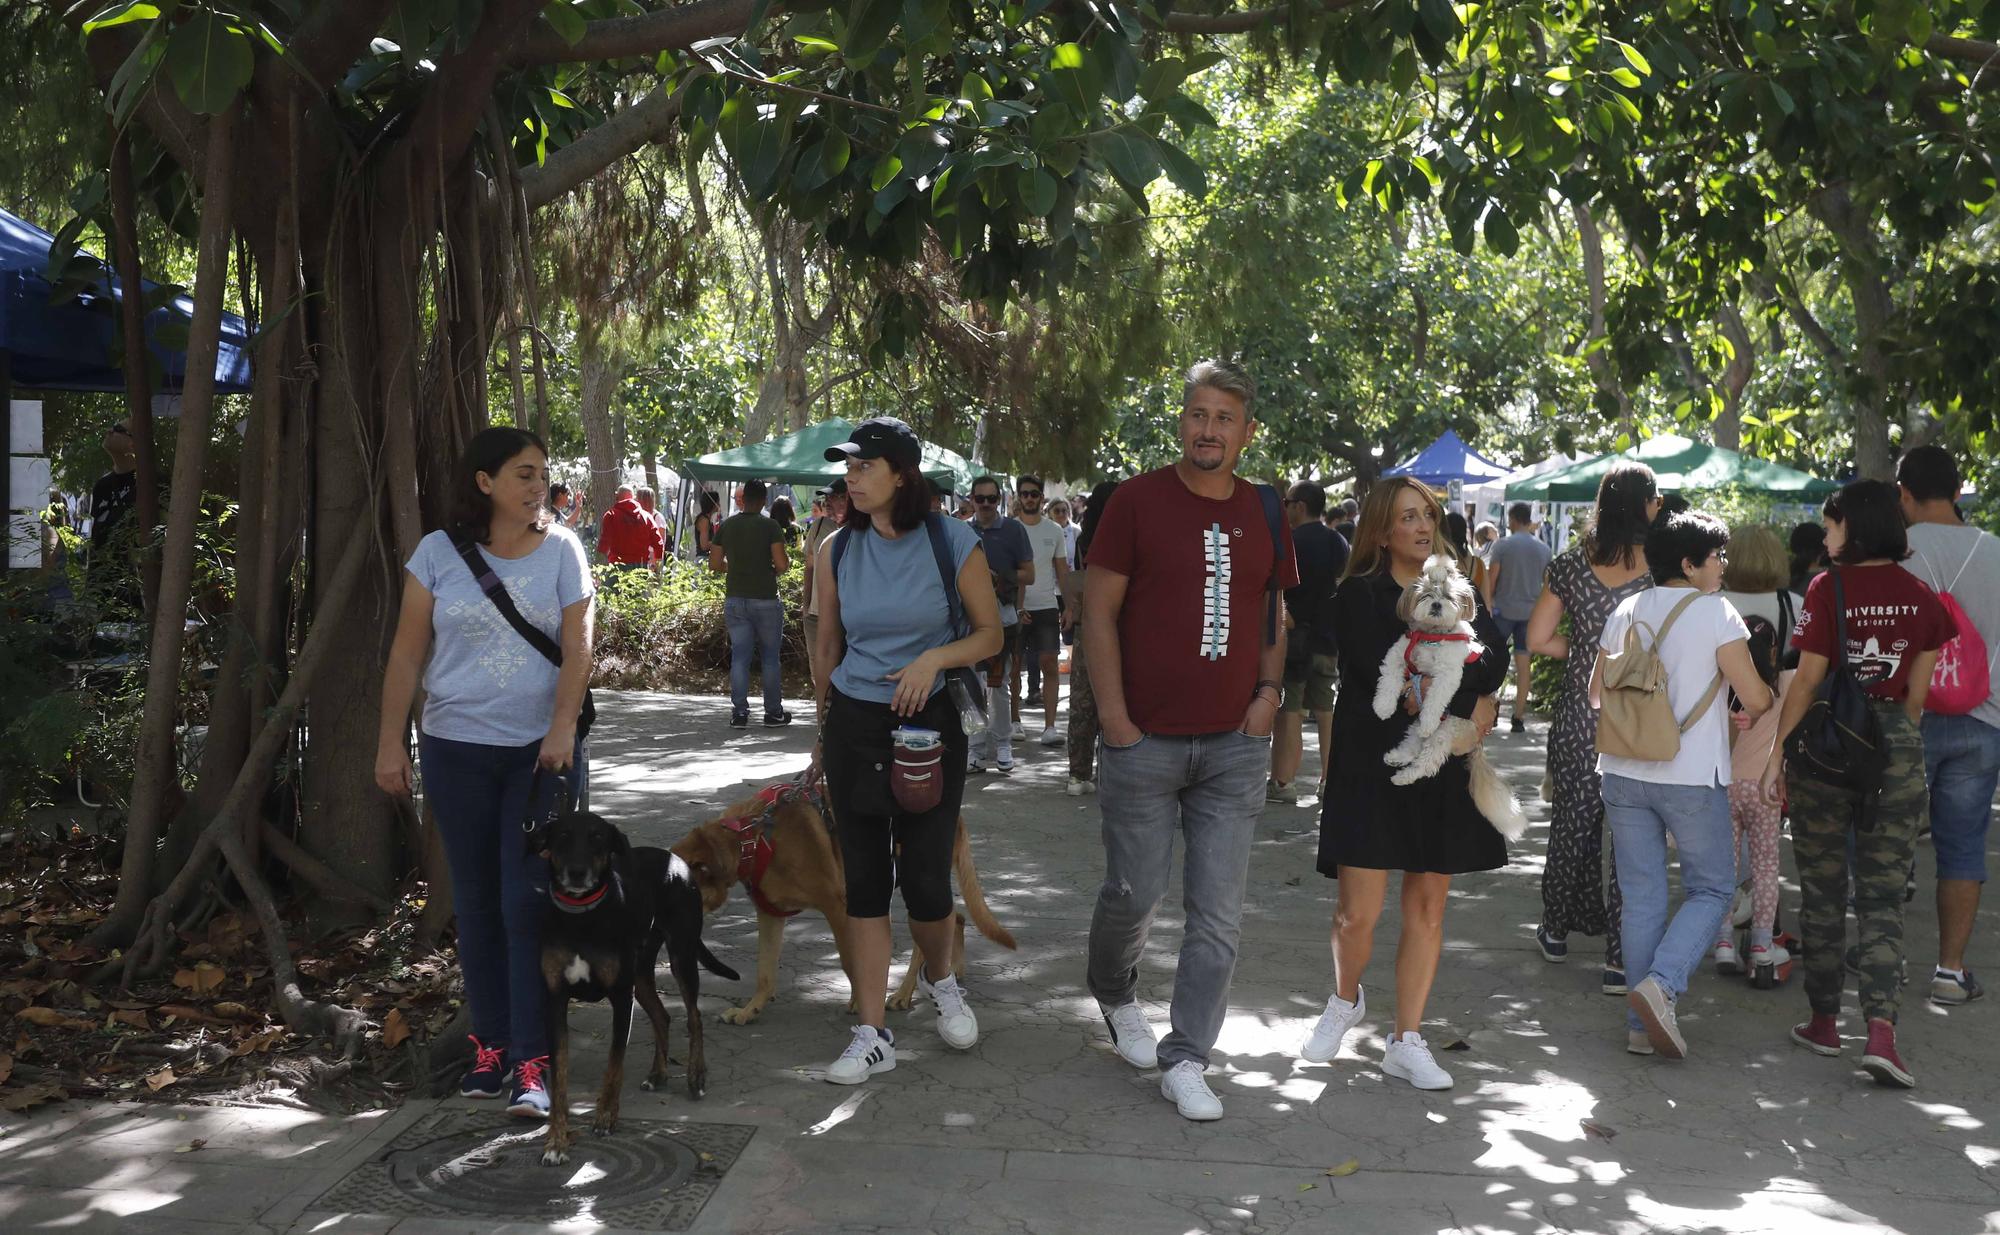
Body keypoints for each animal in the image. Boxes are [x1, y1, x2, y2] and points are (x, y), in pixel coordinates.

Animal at [528, 779, 740, 1167]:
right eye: (562, 837)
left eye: (598, 838)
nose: (577, 873)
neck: (581, 918)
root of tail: (675, 859)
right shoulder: (555, 1001)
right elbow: (561, 1078)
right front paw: (556, 1141)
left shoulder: (619, 998)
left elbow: (614, 1065)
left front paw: (605, 1117)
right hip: (640, 975)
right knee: (662, 1016)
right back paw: (658, 1074)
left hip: (681, 956)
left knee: (694, 1018)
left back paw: (695, 1075)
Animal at [672, 787, 1016, 1019]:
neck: (753, 840)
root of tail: (956, 816)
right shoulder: (770, 915)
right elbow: (764, 971)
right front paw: (750, 1010)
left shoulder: (836, 906)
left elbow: (850, 961)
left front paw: (859, 1002)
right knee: (955, 917)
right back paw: (951, 969)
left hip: (911, 883)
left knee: (929, 934)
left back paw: (904, 993)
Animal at [1376, 555, 1528, 835]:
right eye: (1426, 594)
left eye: (1448, 596)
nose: (1436, 604)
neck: (1432, 636)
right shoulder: (1399, 652)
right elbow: (1389, 678)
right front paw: (1382, 706)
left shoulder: (1448, 674)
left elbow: (1435, 698)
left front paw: (1426, 716)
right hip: (1425, 730)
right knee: (1413, 743)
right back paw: (1396, 757)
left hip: (1445, 732)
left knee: (1427, 760)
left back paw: (1404, 775)